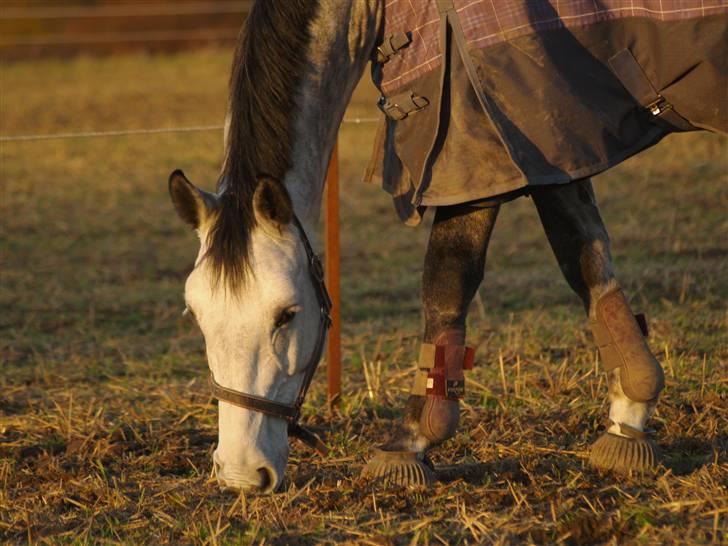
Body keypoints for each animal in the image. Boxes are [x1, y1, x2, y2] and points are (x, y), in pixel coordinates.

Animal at [168, 0, 724, 490]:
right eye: (197, 317)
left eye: (286, 315)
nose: (242, 473)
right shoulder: (548, 150)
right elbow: (587, 261)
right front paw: (630, 419)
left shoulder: (478, 151)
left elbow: (448, 281)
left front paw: (409, 443)